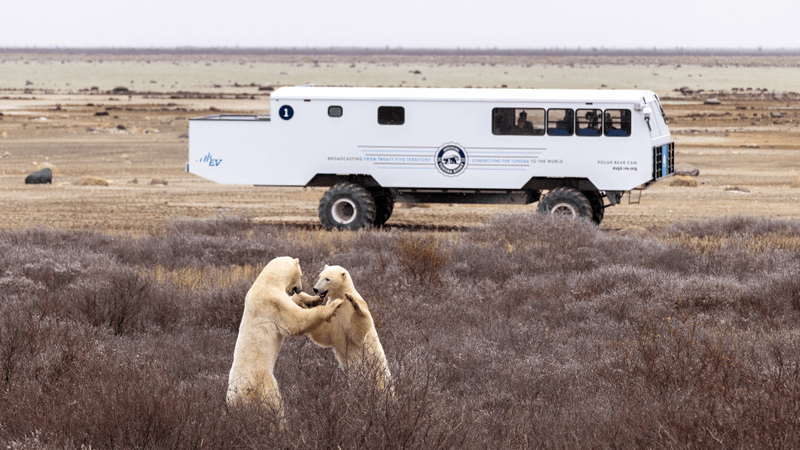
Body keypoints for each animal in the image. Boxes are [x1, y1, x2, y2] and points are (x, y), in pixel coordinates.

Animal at [227, 256, 345, 416]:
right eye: (301, 275)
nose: (300, 287)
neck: (267, 282)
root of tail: (235, 395)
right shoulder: (273, 302)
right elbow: (296, 321)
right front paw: (334, 304)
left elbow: (294, 301)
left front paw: (313, 299)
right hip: (261, 382)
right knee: (273, 403)